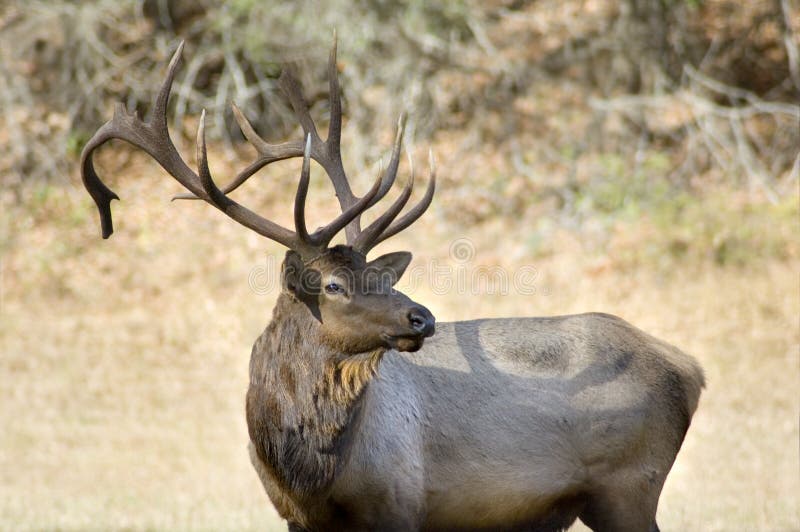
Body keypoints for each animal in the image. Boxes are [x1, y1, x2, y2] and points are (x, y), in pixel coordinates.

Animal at [81, 38, 704, 532]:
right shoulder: (296, 520)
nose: (421, 317)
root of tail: (688, 368)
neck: (308, 473)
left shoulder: (400, 502)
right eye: (333, 284)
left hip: (628, 486)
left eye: (381, 274)